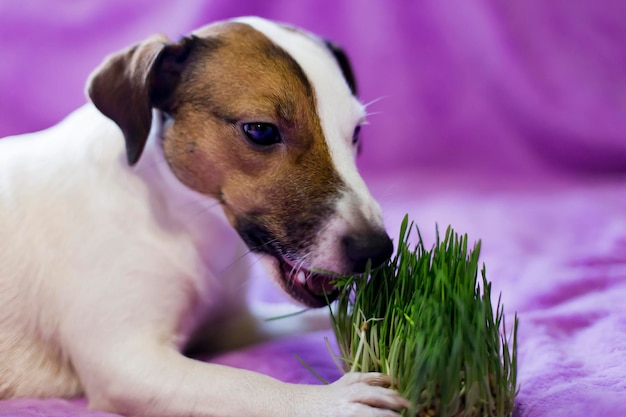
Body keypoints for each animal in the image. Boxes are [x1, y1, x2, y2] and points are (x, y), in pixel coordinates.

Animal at [0, 16, 404, 416]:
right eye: (260, 131)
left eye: (356, 132)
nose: (375, 251)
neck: (187, 222)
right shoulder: (127, 363)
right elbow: (245, 383)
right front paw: (335, 401)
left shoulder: (235, 326)